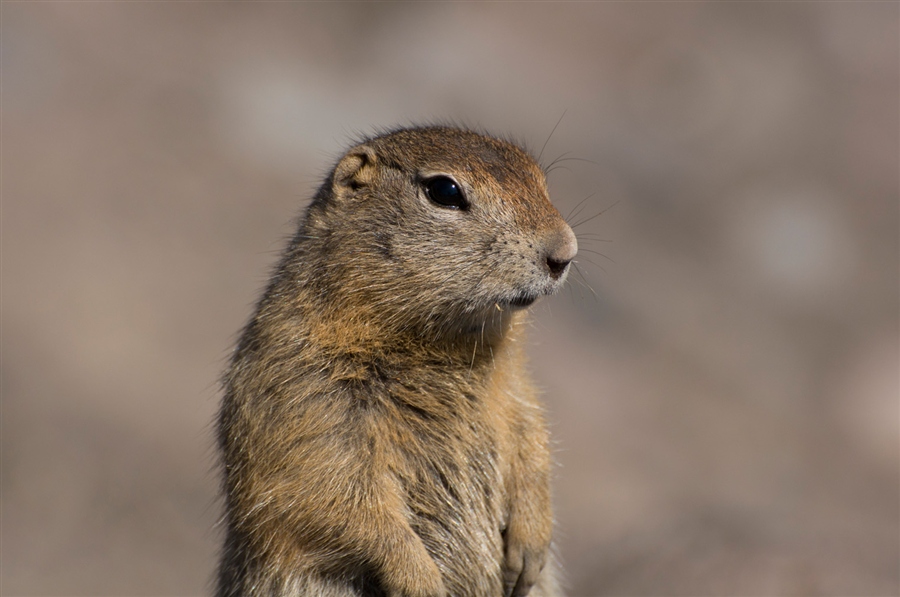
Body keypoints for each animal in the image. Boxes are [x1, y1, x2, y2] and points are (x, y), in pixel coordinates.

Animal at [220, 125, 576, 596]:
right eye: (444, 191)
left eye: (538, 177)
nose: (565, 252)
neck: (442, 345)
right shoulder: (300, 393)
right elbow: (333, 494)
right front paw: (420, 580)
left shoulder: (515, 384)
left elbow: (531, 437)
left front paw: (530, 549)